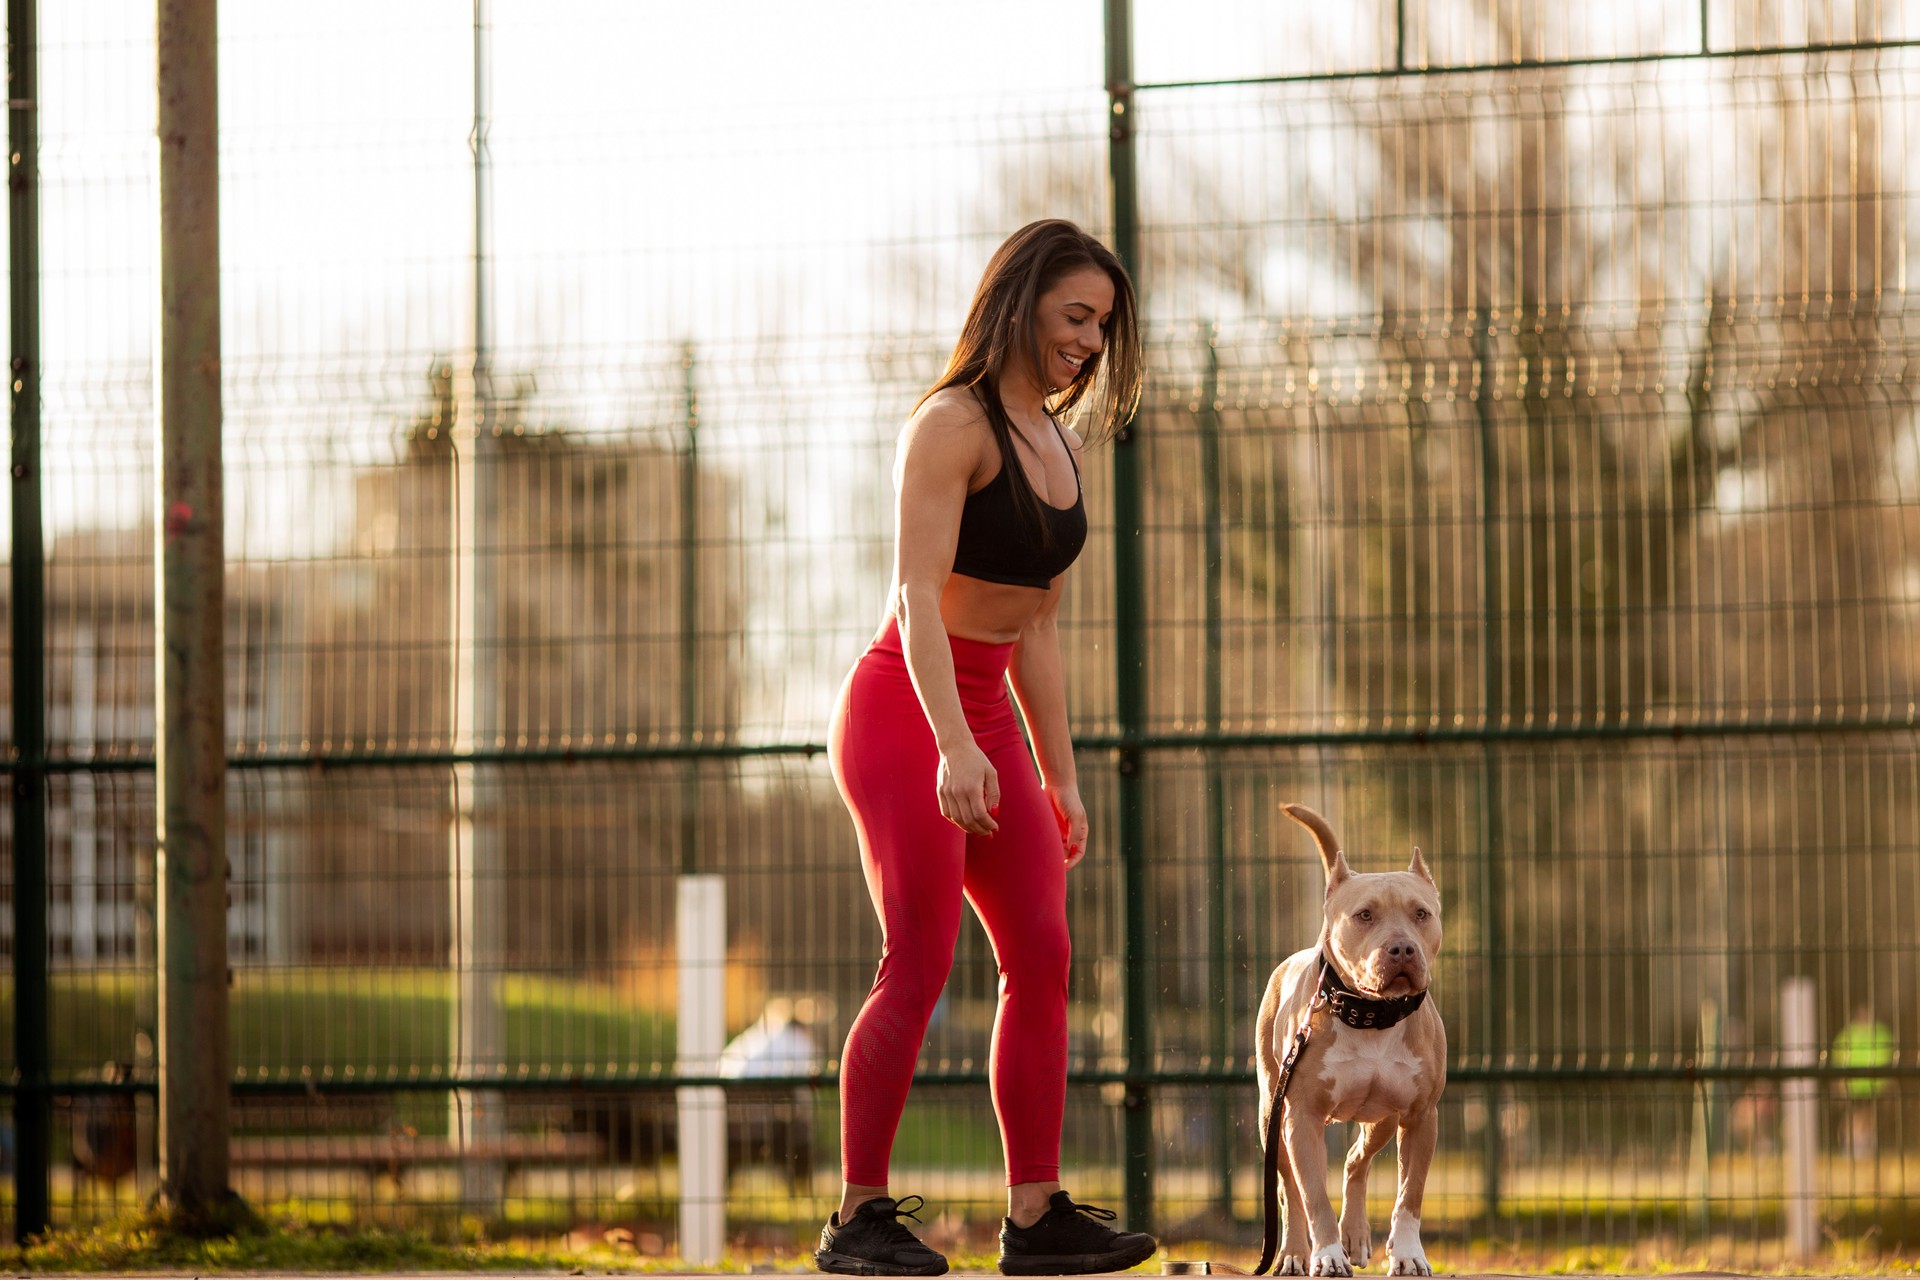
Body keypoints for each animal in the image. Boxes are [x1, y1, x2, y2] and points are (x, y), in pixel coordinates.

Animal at [1251, 805, 1443, 1274]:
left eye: (1421, 914)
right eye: (1364, 915)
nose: (1402, 949)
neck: (1370, 1016)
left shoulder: (1420, 1117)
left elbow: (1409, 1196)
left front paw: (1408, 1254)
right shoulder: (1300, 1118)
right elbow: (1313, 1197)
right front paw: (1326, 1255)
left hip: (1382, 1119)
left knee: (1356, 1160)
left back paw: (1354, 1234)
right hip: (1271, 1118)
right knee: (1288, 1191)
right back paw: (1294, 1253)